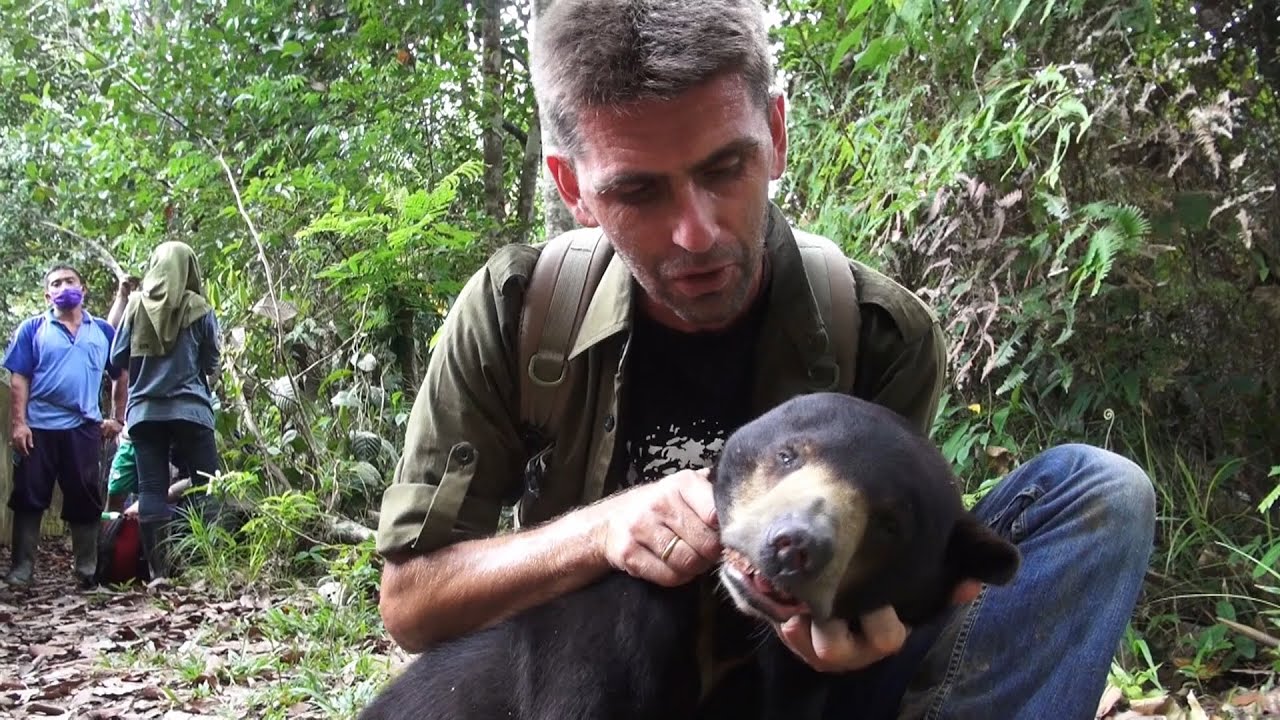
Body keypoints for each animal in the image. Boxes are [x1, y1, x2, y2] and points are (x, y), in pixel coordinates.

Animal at [358, 392, 1021, 720]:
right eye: (789, 455)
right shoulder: (604, 638)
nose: (793, 547)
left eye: (889, 522)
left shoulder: (793, 687)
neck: (728, 626)